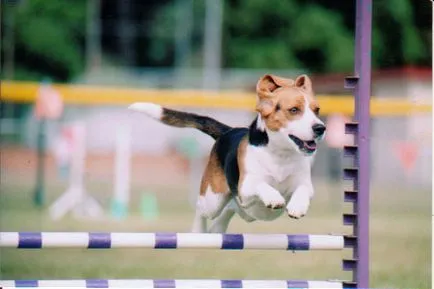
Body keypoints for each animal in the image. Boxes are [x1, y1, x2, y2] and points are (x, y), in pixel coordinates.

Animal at [129, 73, 326, 232]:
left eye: (316, 110)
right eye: (294, 110)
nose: (320, 128)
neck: (281, 155)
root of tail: (228, 131)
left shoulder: (305, 184)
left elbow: (302, 189)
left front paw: (297, 207)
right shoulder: (245, 186)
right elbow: (261, 184)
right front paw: (273, 197)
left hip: (245, 212)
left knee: (231, 208)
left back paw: (217, 229)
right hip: (213, 199)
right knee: (201, 207)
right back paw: (198, 231)